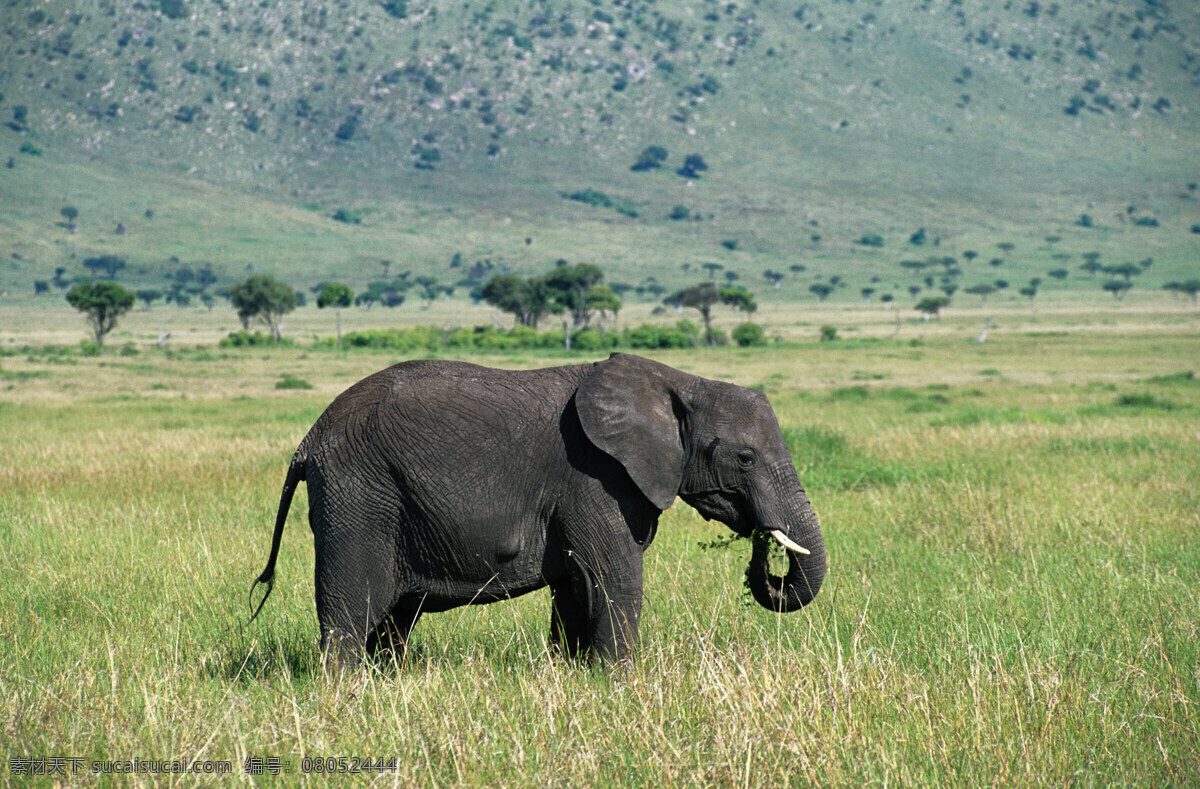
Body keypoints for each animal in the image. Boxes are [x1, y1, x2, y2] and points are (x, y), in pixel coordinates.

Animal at [243, 350, 825, 661]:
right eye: (745, 459)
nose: (763, 547)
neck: (679, 381)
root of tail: (308, 440)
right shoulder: (593, 478)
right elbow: (615, 577)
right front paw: (620, 684)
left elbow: (574, 586)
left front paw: (574, 675)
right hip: (360, 493)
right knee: (351, 609)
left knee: (392, 621)